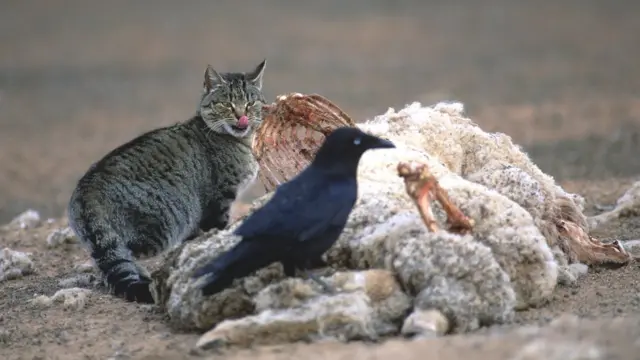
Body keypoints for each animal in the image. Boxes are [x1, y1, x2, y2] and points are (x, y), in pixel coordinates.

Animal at [69, 59, 268, 304]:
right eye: (227, 104)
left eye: (250, 103)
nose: (242, 116)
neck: (241, 142)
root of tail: (87, 190)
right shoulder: (220, 200)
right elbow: (217, 230)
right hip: (161, 225)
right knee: (125, 256)